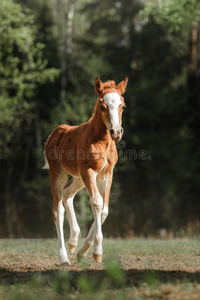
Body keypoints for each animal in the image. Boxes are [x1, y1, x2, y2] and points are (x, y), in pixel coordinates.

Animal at [44, 76, 128, 264]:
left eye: (123, 106)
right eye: (103, 106)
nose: (116, 132)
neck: (102, 141)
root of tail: (54, 134)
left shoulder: (106, 174)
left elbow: (104, 210)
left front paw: (83, 251)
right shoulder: (89, 170)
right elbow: (96, 202)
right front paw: (97, 251)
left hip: (79, 178)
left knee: (67, 193)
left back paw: (73, 241)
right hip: (59, 173)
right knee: (57, 209)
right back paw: (63, 256)